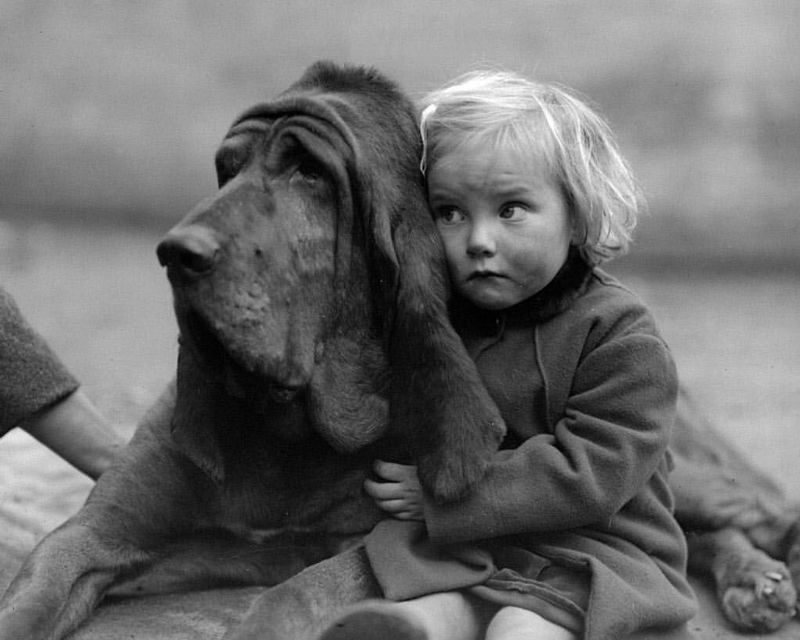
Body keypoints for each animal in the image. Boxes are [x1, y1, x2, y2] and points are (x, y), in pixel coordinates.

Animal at [1, 61, 800, 640]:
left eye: (310, 173)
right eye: (227, 169)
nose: (175, 253)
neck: (289, 424)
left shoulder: (398, 542)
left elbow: (289, 599)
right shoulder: (91, 539)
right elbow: (32, 592)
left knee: (726, 511)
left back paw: (764, 570)